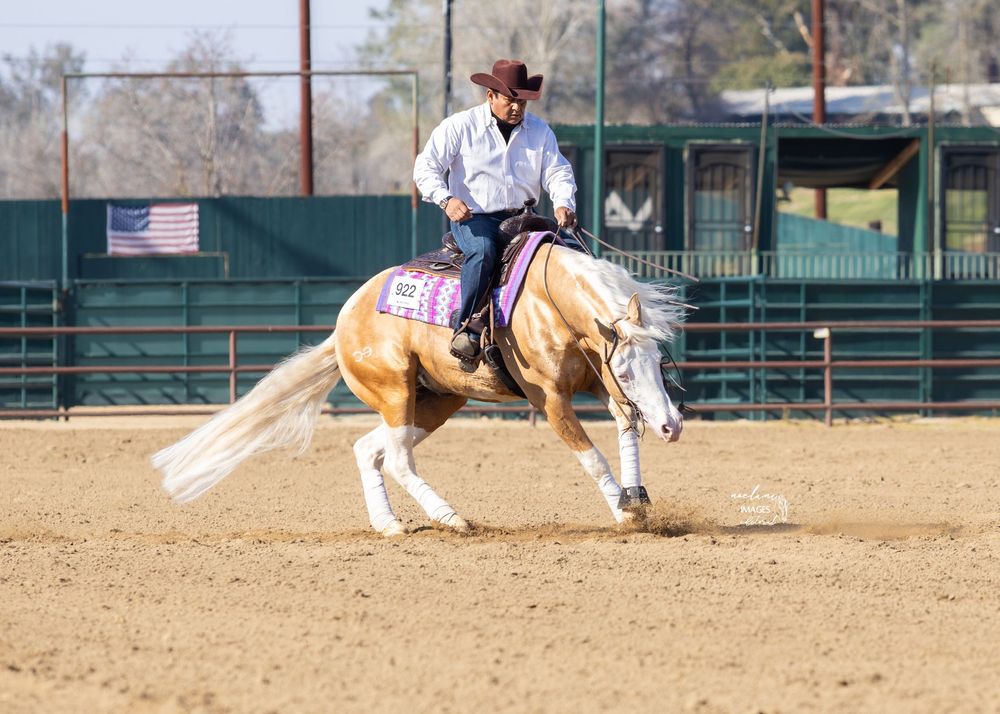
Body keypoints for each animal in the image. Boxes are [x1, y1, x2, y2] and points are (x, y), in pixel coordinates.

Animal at [152, 237, 686, 537]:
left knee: (369, 450)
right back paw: (452, 518)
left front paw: (635, 503)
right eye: (629, 370)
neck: (546, 300)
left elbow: (625, 426)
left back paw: (388, 524)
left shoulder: (598, 381)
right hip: (395, 392)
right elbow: (591, 456)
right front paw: (624, 512)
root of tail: (344, 325)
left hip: (436, 400)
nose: (672, 426)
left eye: (658, 361)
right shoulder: (550, 398)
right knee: (399, 460)